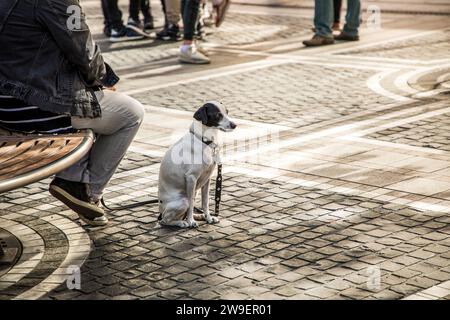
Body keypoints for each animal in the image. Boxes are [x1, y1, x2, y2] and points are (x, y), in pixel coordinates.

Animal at [157, 101, 236, 229]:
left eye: (227, 112)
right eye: (218, 115)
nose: (234, 125)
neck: (204, 141)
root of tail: (161, 211)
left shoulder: (207, 178)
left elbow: (205, 202)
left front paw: (208, 218)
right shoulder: (191, 178)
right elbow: (191, 204)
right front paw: (191, 221)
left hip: (195, 191)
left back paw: (200, 216)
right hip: (182, 201)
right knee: (165, 220)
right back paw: (182, 222)